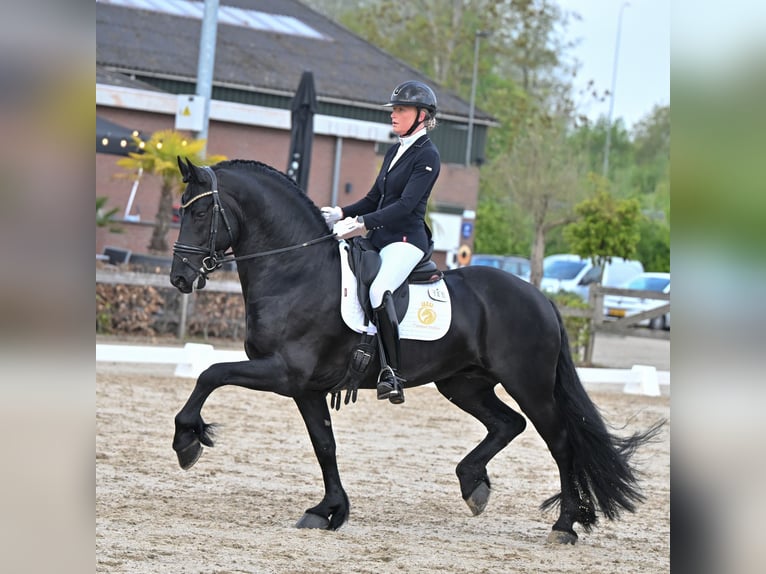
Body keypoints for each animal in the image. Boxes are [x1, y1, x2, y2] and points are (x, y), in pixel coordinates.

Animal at [169, 157, 663, 544]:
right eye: (181, 210)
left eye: (201, 213)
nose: (179, 278)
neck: (296, 269)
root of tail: (539, 297)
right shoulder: (306, 388)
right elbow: (324, 445)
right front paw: (329, 510)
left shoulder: (284, 372)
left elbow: (211, 373)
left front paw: (187, 441)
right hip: (463, 383)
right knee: (508, 424)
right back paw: (473, 485)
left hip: (530, 385)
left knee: (559, 441)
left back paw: (564, 524)